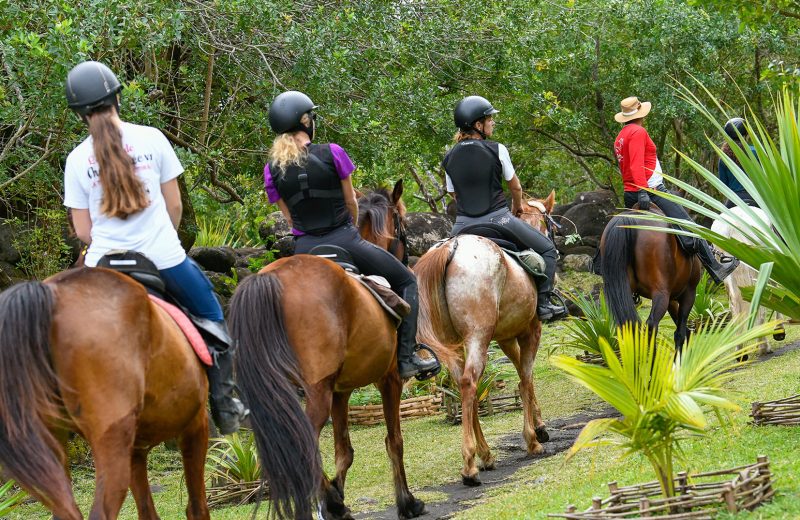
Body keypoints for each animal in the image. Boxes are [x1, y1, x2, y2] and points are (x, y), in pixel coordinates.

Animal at [227, 198, 424, 516]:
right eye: (402, 228)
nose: (407, 259)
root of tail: (270, 279)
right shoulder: (389, 378)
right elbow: (394, 440)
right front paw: (407, 502)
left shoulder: (340, 391)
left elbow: (344, 451)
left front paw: (338, 492)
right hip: (317, 389)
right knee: (302, 440)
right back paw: (332, 502)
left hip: (281, 390)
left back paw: (332, 501)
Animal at [412, 191, 556, 488]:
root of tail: (451, 247)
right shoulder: (531, 330)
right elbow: (526, 378)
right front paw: (533, 439)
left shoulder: (505, 337)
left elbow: (524, 375)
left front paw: (539, 426)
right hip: (478, 336)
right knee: (470, 382)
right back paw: (470, 464)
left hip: (455, 344)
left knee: (463, 384)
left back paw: (486, 454)